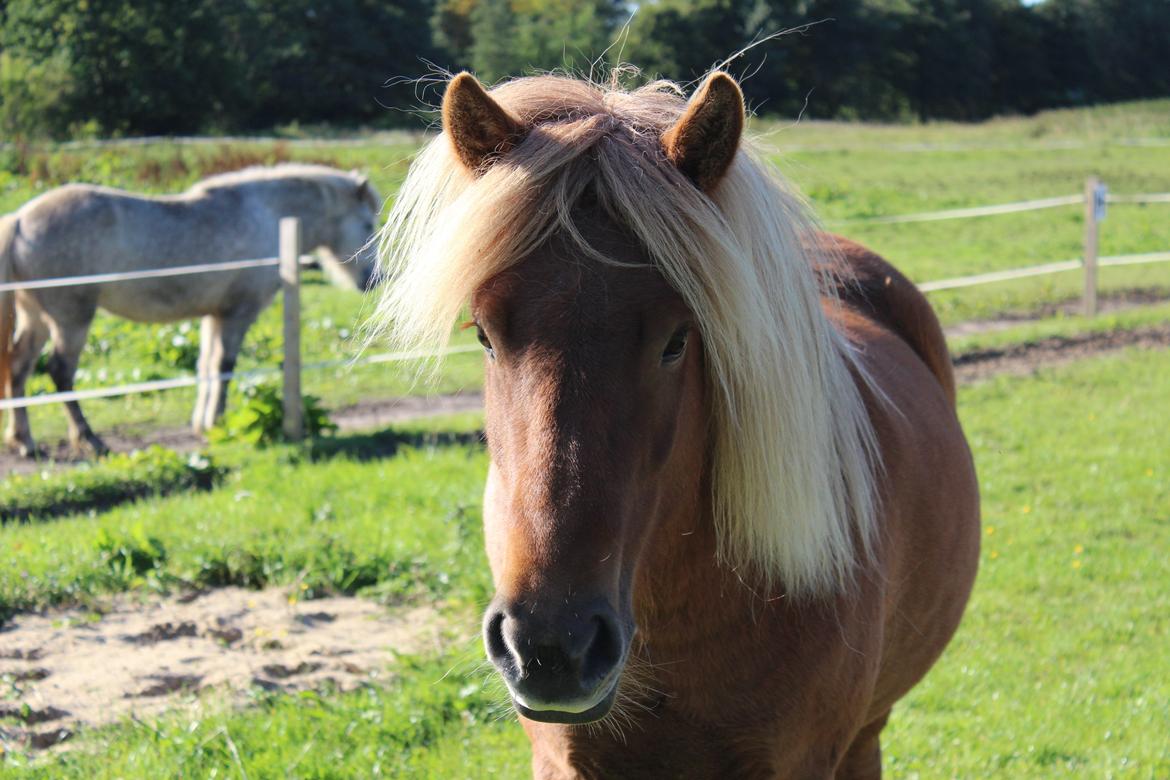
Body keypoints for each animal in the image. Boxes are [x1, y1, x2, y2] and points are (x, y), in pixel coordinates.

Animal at [0, 164, 381, 458]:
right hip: (72, 319)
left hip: (36, 319)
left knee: (19, 369)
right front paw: (218, 422)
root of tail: (20, 220)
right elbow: (224, 366)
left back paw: (25, 442)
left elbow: (205, 366)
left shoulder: (213, 316)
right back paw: (90, 440)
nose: (375, 279)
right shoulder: (238, 313)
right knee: (60, 372)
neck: (268, 213)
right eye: (368, 225)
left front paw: (201, 423)